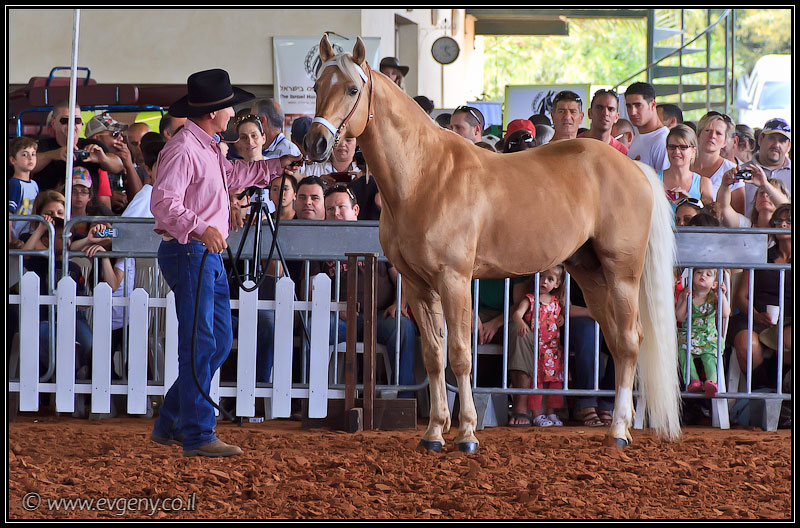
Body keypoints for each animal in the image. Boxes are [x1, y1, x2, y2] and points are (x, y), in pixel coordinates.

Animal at [304, 35, 682, 453]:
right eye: (317, 86)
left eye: (353, 89)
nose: (315, 142)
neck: (424, 176)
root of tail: (636, 169)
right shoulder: (418, 286)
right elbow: (434, 356)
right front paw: (434, 433)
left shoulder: (454, 280)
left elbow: (460, 355)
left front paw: (467, 434)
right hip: (591, 274)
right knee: (618, 342)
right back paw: (623, 425)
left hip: (622, 274)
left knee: (630, 342)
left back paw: (617, 430)